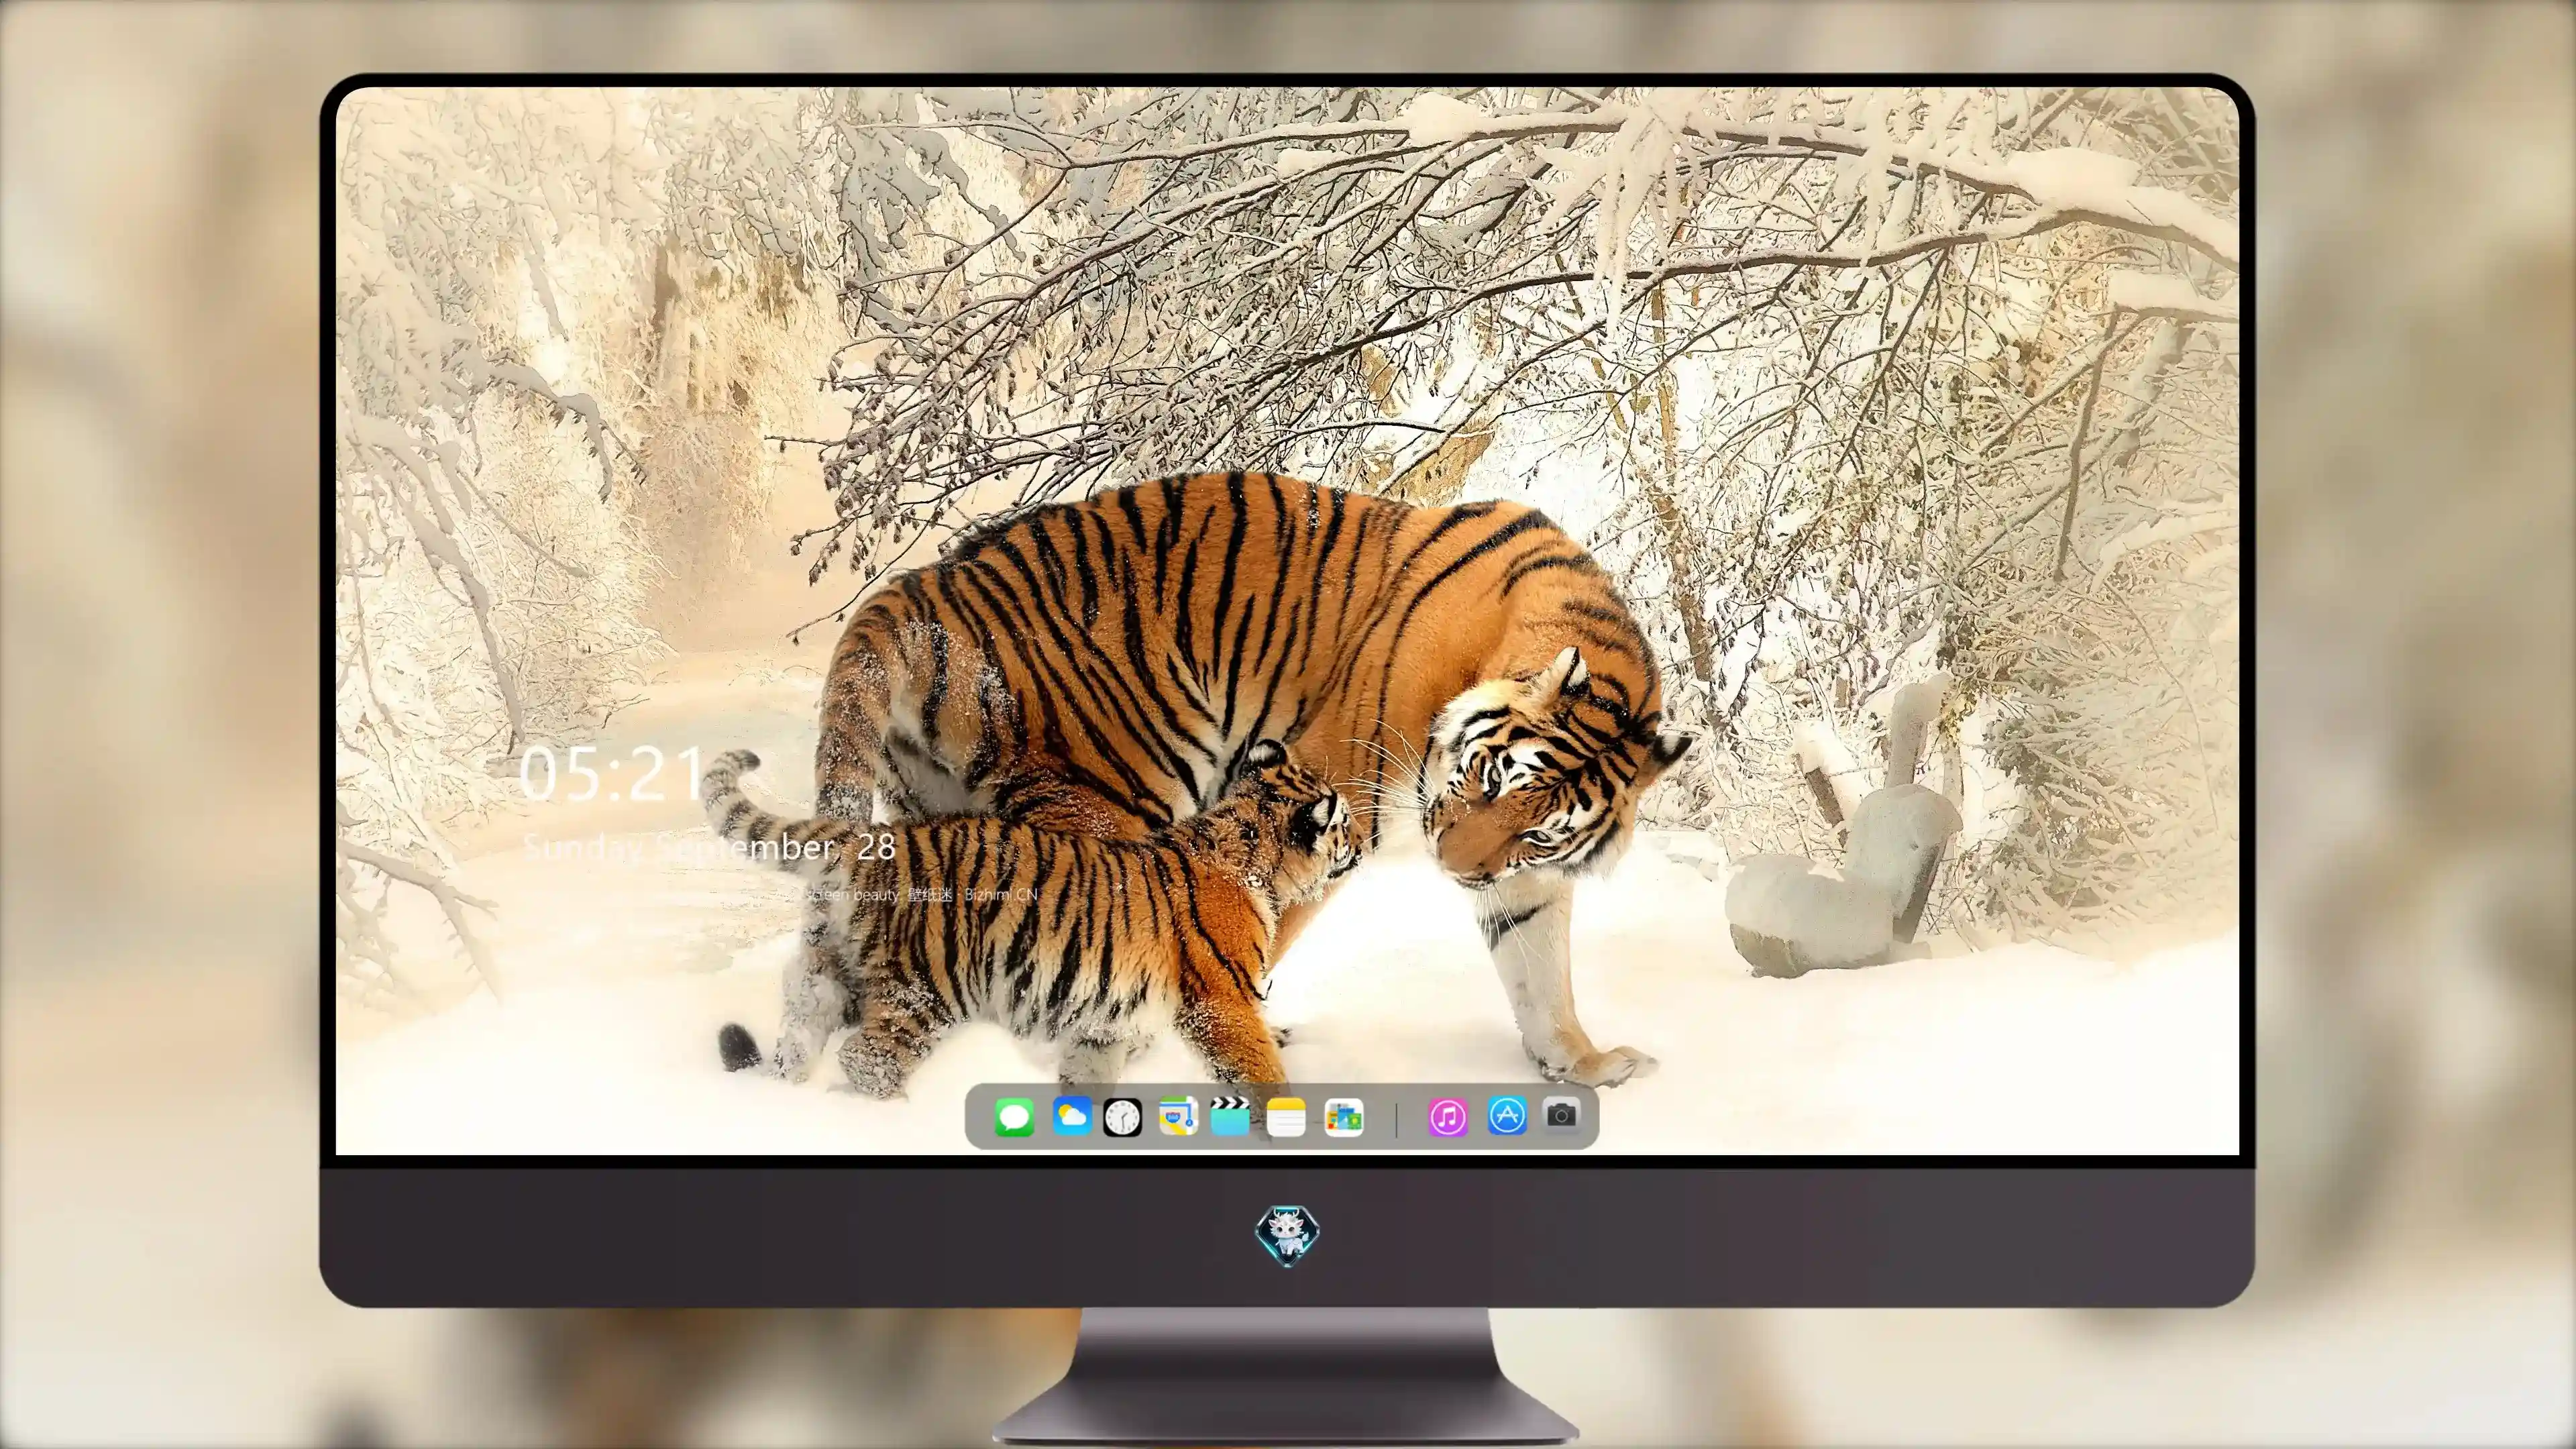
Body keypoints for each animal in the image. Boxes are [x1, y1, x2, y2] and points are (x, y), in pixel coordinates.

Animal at [704, 739, 1358, 1093]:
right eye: (1344, 822)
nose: (1360, 842)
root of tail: (880, 843)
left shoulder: (1106, 1023)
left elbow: (1089, 1078)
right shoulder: (1222, 1003)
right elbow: (1259, 1072)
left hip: (835, 974)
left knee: (801, 1033)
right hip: (929, 988)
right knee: (867, 1060)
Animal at [809, 471, 1695, 1086]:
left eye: (1538, 830)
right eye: (1482, 778)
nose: (1453, 870)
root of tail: (924, 586)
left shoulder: (1525, 877)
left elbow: (1541, 974)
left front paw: (1583, 1066)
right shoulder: (1333, 793)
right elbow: (1263, 935)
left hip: (938, 815)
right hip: (1115, 792)